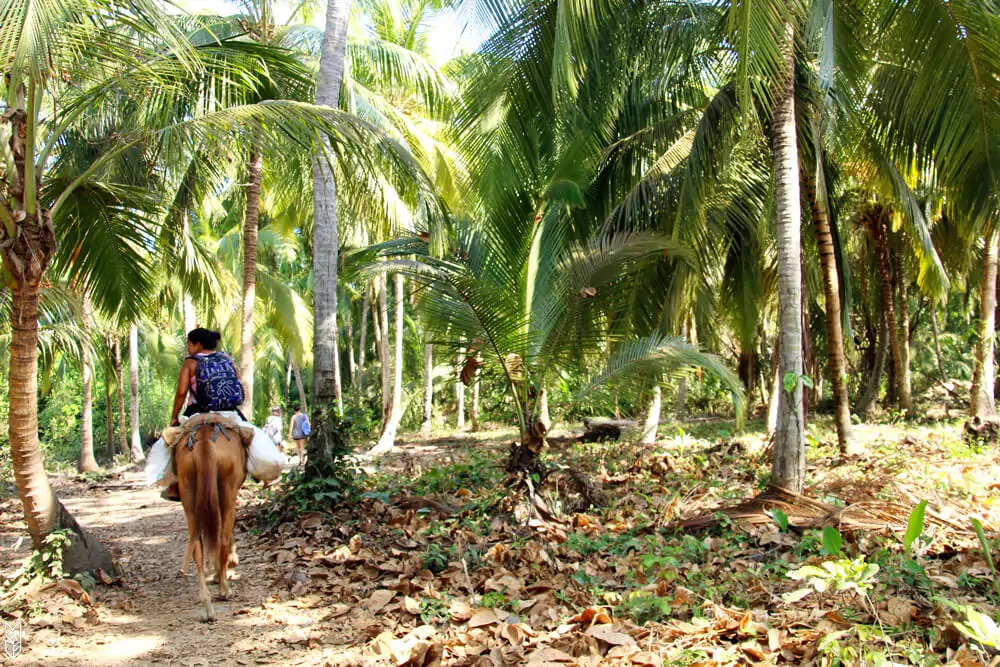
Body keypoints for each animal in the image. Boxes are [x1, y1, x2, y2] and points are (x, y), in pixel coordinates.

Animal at [175, 426, 247, 624]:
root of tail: (204, 440)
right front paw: (228, 564)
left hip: (188, 492)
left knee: (197, 547)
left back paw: (206, 607)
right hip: (227, 490)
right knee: (222, 539)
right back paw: (225, 590)